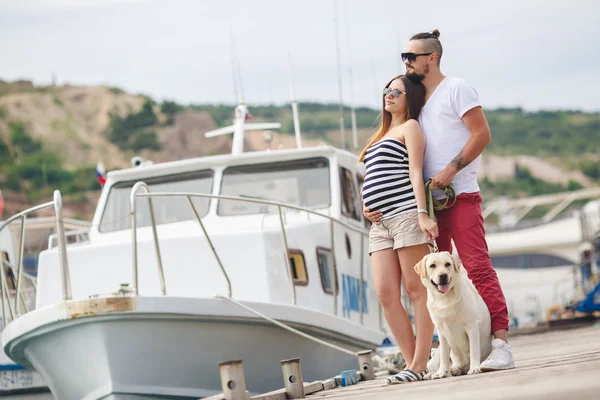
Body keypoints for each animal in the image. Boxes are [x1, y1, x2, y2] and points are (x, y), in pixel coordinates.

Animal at [414, 252, 490, 380]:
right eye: (432, 265)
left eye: (447, 264)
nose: (443, 275)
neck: (444, 298)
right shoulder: (441, 331)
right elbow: (444, 357)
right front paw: (441, 372)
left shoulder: (472, 326)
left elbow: (474, 350)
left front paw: (474, 368)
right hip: (439, 351)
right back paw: (440, 372)